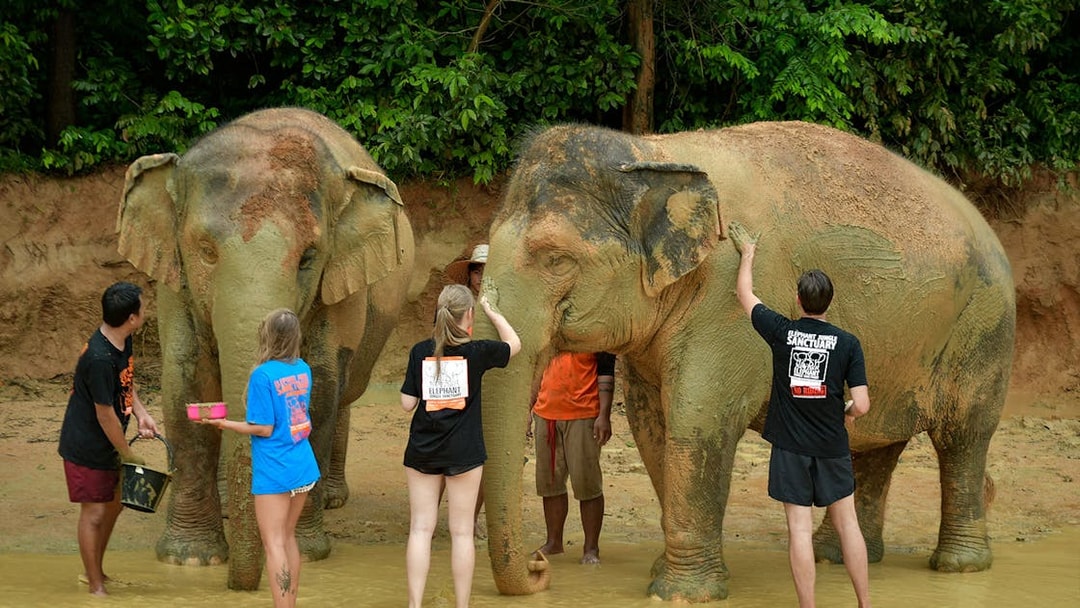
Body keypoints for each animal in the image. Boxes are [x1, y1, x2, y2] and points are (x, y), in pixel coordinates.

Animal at [117, 107, 414, 590]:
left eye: (308, 257)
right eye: (205, 250)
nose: (245, 584)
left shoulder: (337, 284)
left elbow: (320, 387)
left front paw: (305, 552)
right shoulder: (174, 283)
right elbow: (186, 382)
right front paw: (190, 560)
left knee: (345, 392)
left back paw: (331, 499)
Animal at [474, 121, 1014, 602]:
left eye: (556, 259)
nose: (539, 566)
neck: (652, 151)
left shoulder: (725, 303)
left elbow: (697, 422)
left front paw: (681, 594)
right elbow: (653, 428)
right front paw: (663, 574)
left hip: (984, 328)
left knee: (964, 436)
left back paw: (958, 566)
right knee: (875, 444)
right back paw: (836, 557)